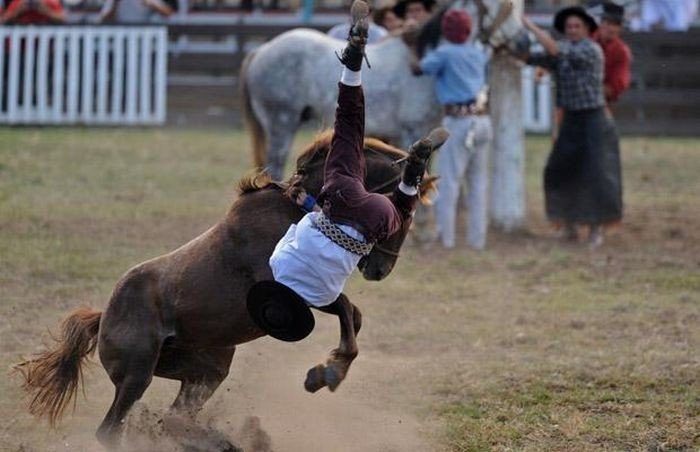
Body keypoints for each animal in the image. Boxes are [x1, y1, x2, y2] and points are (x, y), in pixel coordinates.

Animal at [16, 132, 434, 452]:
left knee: (173, 418)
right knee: (112, 429)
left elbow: (353, 314)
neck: (298, 208)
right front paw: (327, 372)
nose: (380, 270)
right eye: (405, 212)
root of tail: (104, 316)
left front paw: (325, 371)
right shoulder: (292, 292)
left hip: (207, 370)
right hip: (137, 374)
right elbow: (348, 310)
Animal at [241, 0, 524, 179]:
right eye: (507, 9)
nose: (526, 44)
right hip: (282, 123)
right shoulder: (413, 130)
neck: (424, 66)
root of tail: (260, 50)